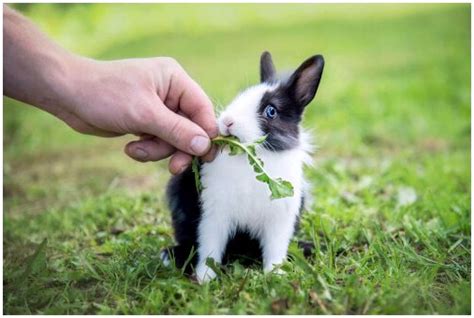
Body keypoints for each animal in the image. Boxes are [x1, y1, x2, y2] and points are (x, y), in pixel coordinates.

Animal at [161, 52, 324, 284]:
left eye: (271, 111)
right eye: (240, 96)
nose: (228, 121)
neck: (251, 159)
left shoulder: (280, 220)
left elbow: (274, 250)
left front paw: (276, 274)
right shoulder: (213, 215)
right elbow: (210, 247)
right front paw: (205, 278)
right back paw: (170, 255)